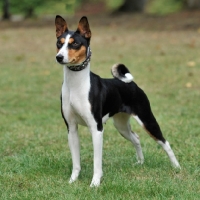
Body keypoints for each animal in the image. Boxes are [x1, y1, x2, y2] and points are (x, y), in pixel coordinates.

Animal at [54, 15, 181, 188]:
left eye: (74, 43)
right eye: (59, 43)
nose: (59, 57)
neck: (76, 85)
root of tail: (132, 84)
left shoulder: (97, 128)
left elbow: (97, 162)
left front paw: (95, 183)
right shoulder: (71, 128)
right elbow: (76, 162)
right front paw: (73, 181)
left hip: (147, 120)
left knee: (165, 143)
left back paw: (176, 167)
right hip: (121, 125)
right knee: (136, 138)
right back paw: (141, 162)